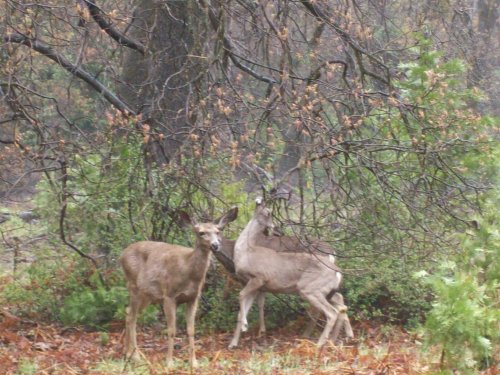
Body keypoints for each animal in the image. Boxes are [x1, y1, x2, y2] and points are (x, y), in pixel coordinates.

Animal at [120, 209, 238, 370]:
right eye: (201, 232)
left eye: (218, 231)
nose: (215, 245)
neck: (187, 269)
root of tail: (122, 255)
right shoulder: (169, 296)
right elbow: (171, 330)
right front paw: (169, 362)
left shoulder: (193, 298)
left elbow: (191, 330)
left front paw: (194, 362)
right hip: (134, 286)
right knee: (131, 316)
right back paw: (136, 356)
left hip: (147, 294)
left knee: (128, 313)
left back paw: (128, 354)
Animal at [229, 200, 346, 350]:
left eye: (269, 212)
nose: (276, 228)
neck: (245, 252)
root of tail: (337, 271)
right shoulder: (254, 286)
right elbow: (242, 309)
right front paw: (233, 343)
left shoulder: (259, 278)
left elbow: (241, 295)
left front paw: (246, 326)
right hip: (326, 291)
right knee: (340, 305)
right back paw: (333, 340)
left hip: (310, 289)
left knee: (331, 312)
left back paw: (318, 344)